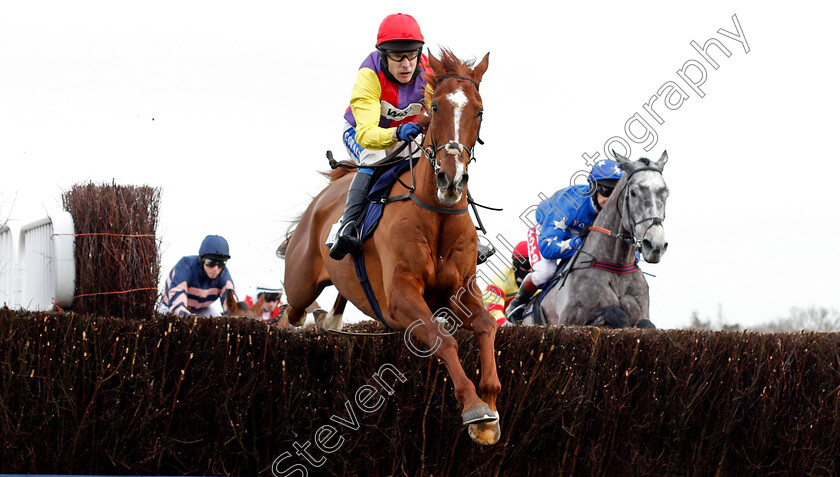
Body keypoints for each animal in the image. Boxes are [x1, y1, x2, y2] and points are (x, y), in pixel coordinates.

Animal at [278, 48, 498, 442]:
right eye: (436, 107)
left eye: (479, 111)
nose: (451, 178)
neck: (438, 213)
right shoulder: (400, 299)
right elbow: (443, 338)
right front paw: (474, 406)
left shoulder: (460, 290)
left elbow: (488, 325)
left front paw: (489, 407)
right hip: (299, 281)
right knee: (292, 311)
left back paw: (328, 319)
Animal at [524, 150, 668, 328]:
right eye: (633, 193)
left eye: (665, 193)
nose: (655, 245)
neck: (617, 266)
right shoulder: (569, 319)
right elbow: (614, 313)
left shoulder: (643, 315)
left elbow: (646, 324)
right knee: (543, 272)